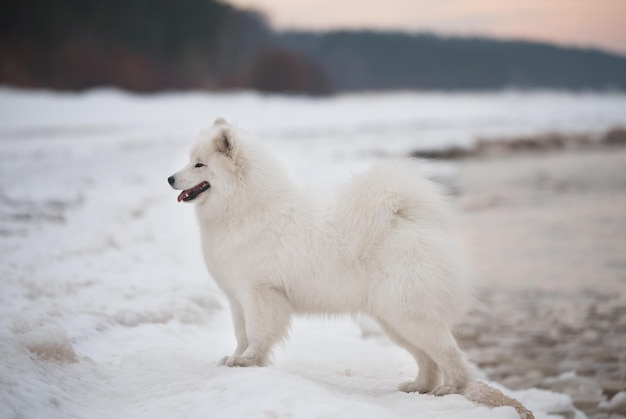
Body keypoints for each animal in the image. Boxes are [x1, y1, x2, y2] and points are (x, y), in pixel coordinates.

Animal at [168, 119, 470, 398]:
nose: (169, 179)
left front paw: (249, 360)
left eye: (199, 165)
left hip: (408, 313)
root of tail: (408, 219)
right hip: (393, 319)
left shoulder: (260, 293)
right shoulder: (237, 298)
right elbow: (241, 334)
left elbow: (256, 333)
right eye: (191, 161)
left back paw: (451, 388)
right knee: (427, 358)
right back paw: (419, 387)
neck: (245, 209)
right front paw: (236, 358)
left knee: (447, 352)